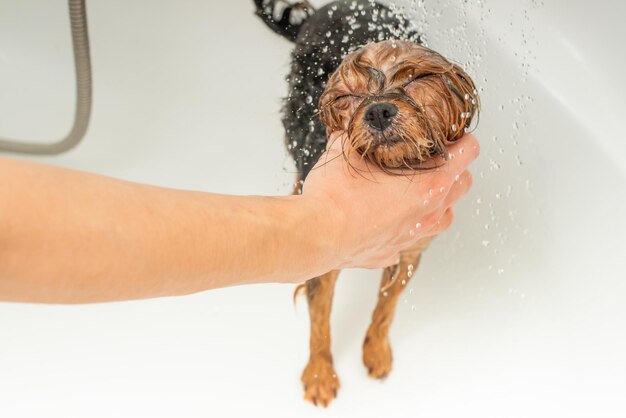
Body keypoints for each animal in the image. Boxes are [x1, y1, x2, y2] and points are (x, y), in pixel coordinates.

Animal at [254, 0, 478, 404]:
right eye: (349, 97)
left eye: (414, 79)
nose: (377, 110)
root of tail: (325, 11)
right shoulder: (325, 254)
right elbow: (320, 319)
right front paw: (319, 373)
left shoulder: (411, 248)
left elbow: (387, 305)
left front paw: (376, 351)